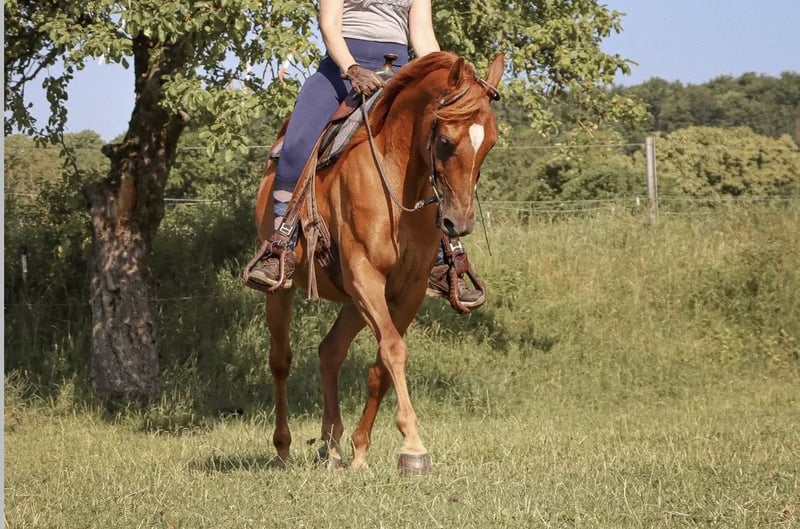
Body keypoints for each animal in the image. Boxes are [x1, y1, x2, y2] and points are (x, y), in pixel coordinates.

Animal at [253, 51, 505, 474]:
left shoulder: (407, 290)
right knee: (280, 360)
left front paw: (361, 450)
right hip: (284, 290)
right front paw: (414, 446)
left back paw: (332, 447)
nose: (459, 224)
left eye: (489, 143)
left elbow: (381, 366)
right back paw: (284, 447)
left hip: (354, 302)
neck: (396, 174)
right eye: (445, 142)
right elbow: (393, 351)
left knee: (330, 352)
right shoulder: (365, 275)